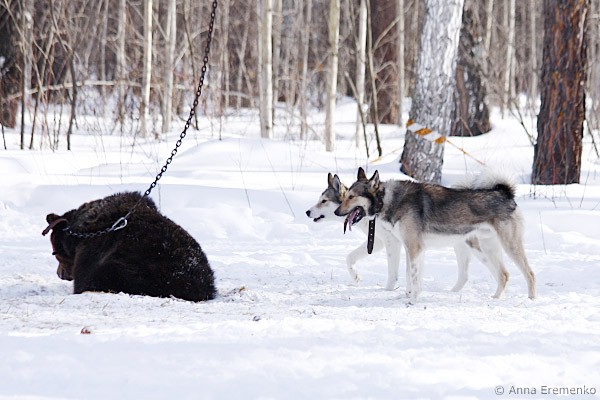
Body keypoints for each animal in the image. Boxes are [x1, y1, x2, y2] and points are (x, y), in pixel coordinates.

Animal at [307, 172, 481, 294]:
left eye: (323, 201)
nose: (307, 212)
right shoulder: (378, 242)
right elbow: (350, 257)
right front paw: (355, 277)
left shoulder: (393, 242)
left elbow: (394, 271)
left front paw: (390, 289)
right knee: (464, 276)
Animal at [334, 168, 537, 302]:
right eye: (345, 195)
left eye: (351, 196)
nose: (336, 211)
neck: (387, 200)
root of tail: (505, 193)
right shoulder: (413, 249)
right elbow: (411, 276)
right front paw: (408, 296)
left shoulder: (414, 248)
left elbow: (413, 277)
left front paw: (413, 300)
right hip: (487, 248)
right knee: (504, 275)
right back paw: (495, 298)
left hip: (509, 246)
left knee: (530, 274)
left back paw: (531, 300)